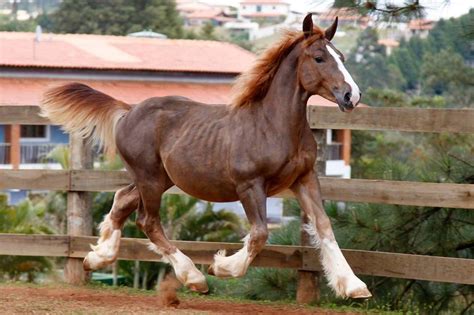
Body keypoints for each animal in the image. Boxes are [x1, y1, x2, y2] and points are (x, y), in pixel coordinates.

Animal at [41, 14, 370, 298]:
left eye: (341, 56)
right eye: (319, 58)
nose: (351, 96)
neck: (271, 125)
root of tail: (128, 110)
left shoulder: (304, 178)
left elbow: (324, 226)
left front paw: (354, 286)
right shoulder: (250, 186)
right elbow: (260, 234)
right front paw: (222, 267)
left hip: (161, 179)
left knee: (122, 199)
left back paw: (98, 257)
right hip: (150, 178)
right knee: (148, 221)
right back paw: (194, 277)